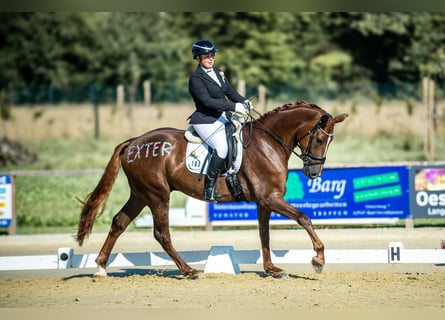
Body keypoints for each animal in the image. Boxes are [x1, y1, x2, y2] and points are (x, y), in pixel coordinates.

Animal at [75, 101, 346, 278]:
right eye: (320, 139)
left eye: (330, 141)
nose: (314, 173)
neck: (269, 143)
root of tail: (133, 143)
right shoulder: (270, 198)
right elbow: (304, 217)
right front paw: (318, 259)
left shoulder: (264, 201)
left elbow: (264, 234)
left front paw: (272, 269)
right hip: (157, 195)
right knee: (161, 233)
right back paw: (189, 271)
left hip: (140, 194)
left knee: (119, 223)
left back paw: (100, 268)